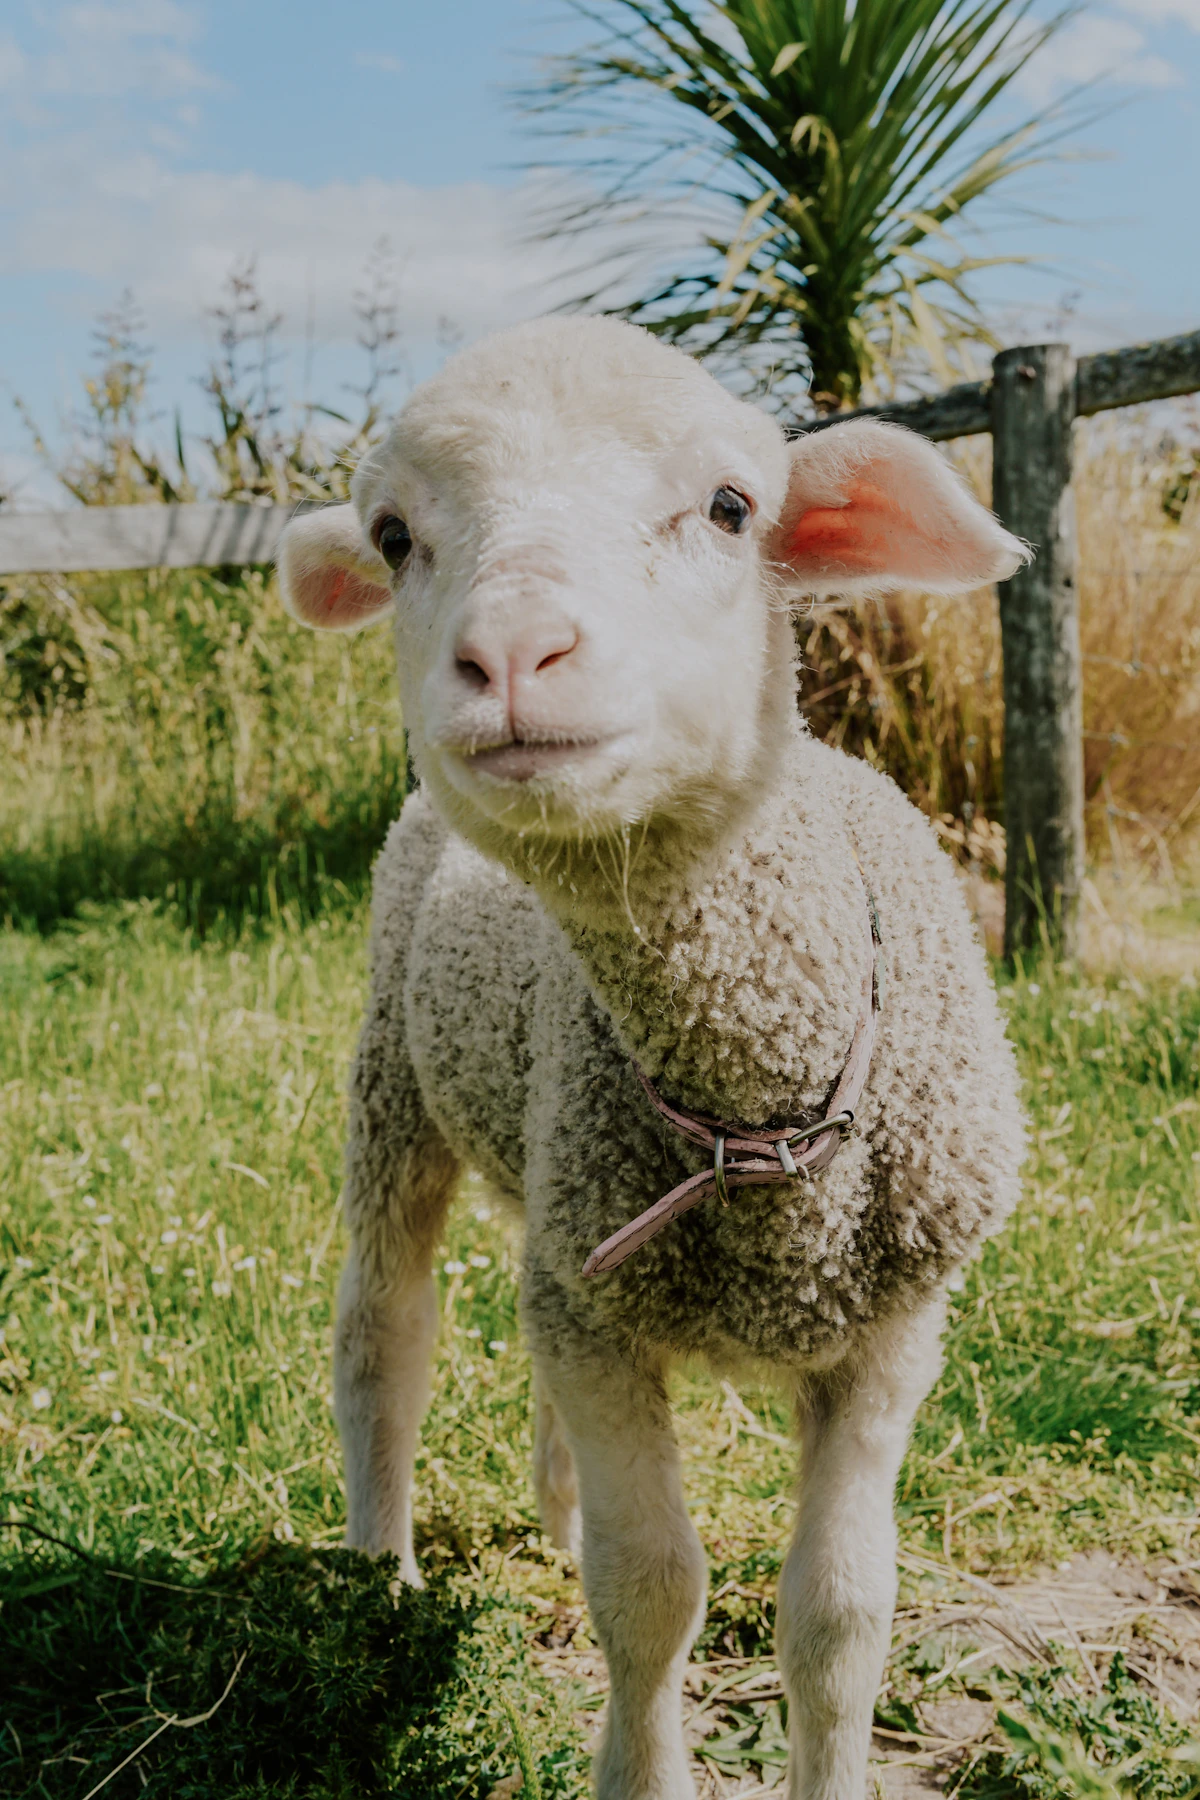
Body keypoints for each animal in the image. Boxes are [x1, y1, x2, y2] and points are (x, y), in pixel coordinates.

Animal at [276, 314, 1028, 1800]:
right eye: (395, 537)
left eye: (734, 508)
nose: (512, 654)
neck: (757, 1118)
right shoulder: (607, 1307)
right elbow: (652, 1592)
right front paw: (641, 1761)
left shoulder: (886, 1333)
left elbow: (841, 1614)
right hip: (394, 1084)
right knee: (385, 1329)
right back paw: (382, 1572)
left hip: (555, 1194)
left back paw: (548, 1511)